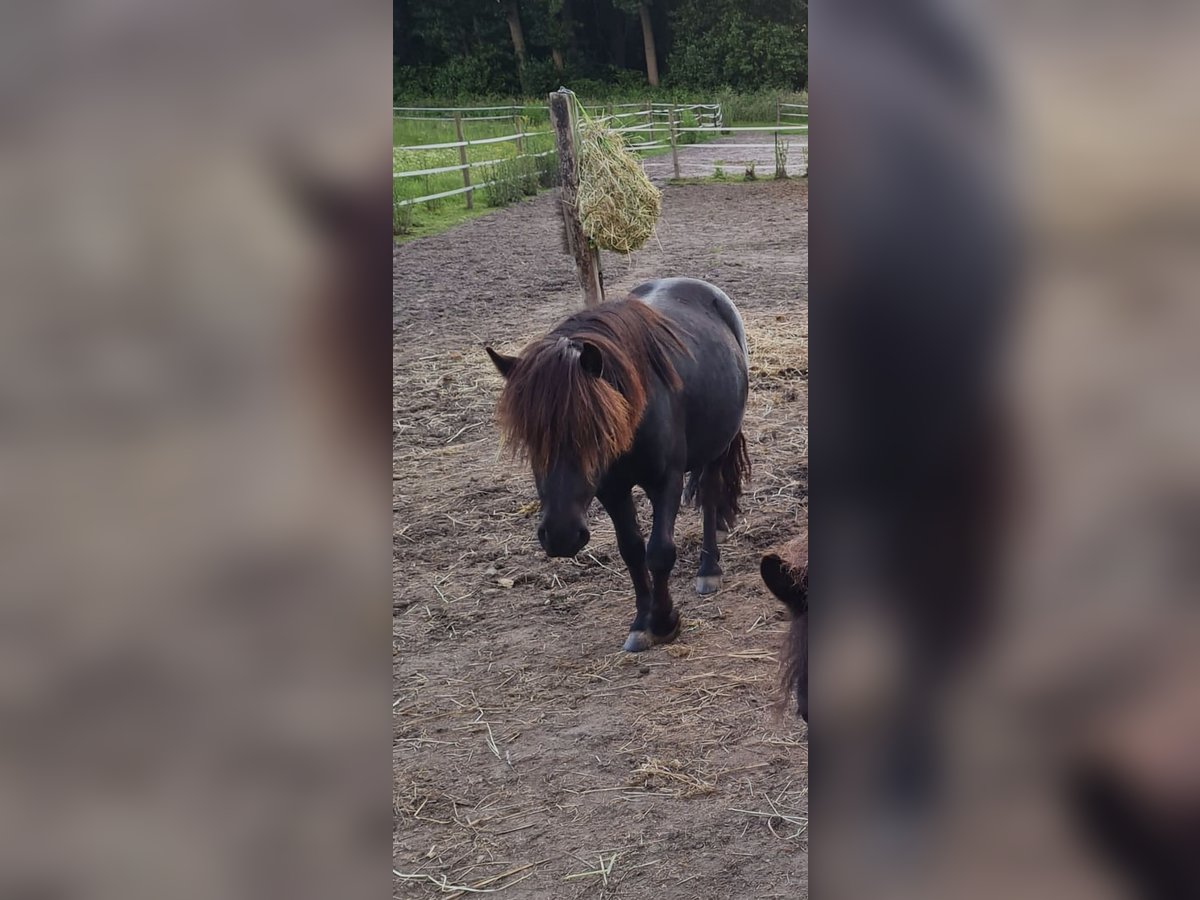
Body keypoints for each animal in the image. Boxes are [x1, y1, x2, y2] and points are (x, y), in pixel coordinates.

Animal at [487, 278, 748, 652]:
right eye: (529, 439)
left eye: (595, 432)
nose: (561, 536)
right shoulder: (611, 490)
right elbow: (632, 551)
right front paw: (641, 623)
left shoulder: (665, 480)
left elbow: (659, 551)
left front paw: (664, 622)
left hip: (717, 448)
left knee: (710, 499)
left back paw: (708, 570)